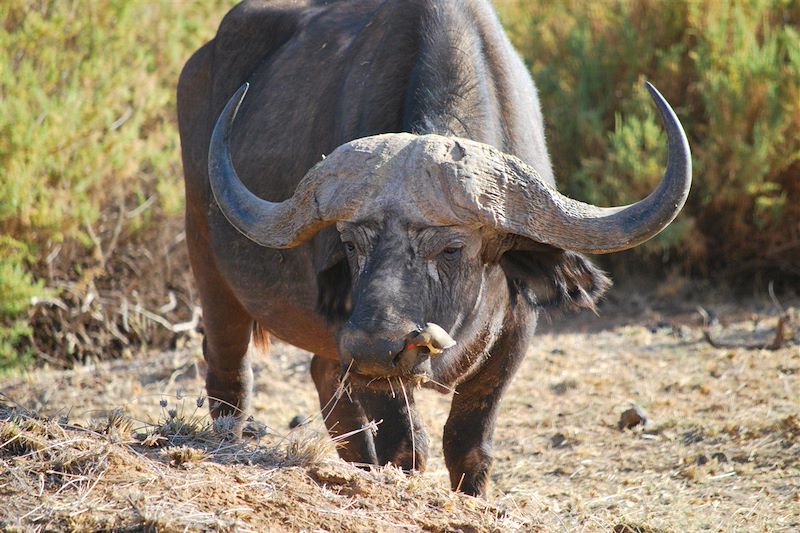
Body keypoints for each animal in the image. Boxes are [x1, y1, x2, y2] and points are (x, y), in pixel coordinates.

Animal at [178, 0, 692, 494]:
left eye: (451, 248)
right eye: (351, 243)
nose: (375, 344)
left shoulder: (514, 335)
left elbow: (468, 444)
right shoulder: (370, 362)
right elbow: (406, 446)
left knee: (326, 382)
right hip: (210, 263)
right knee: (230, 374)